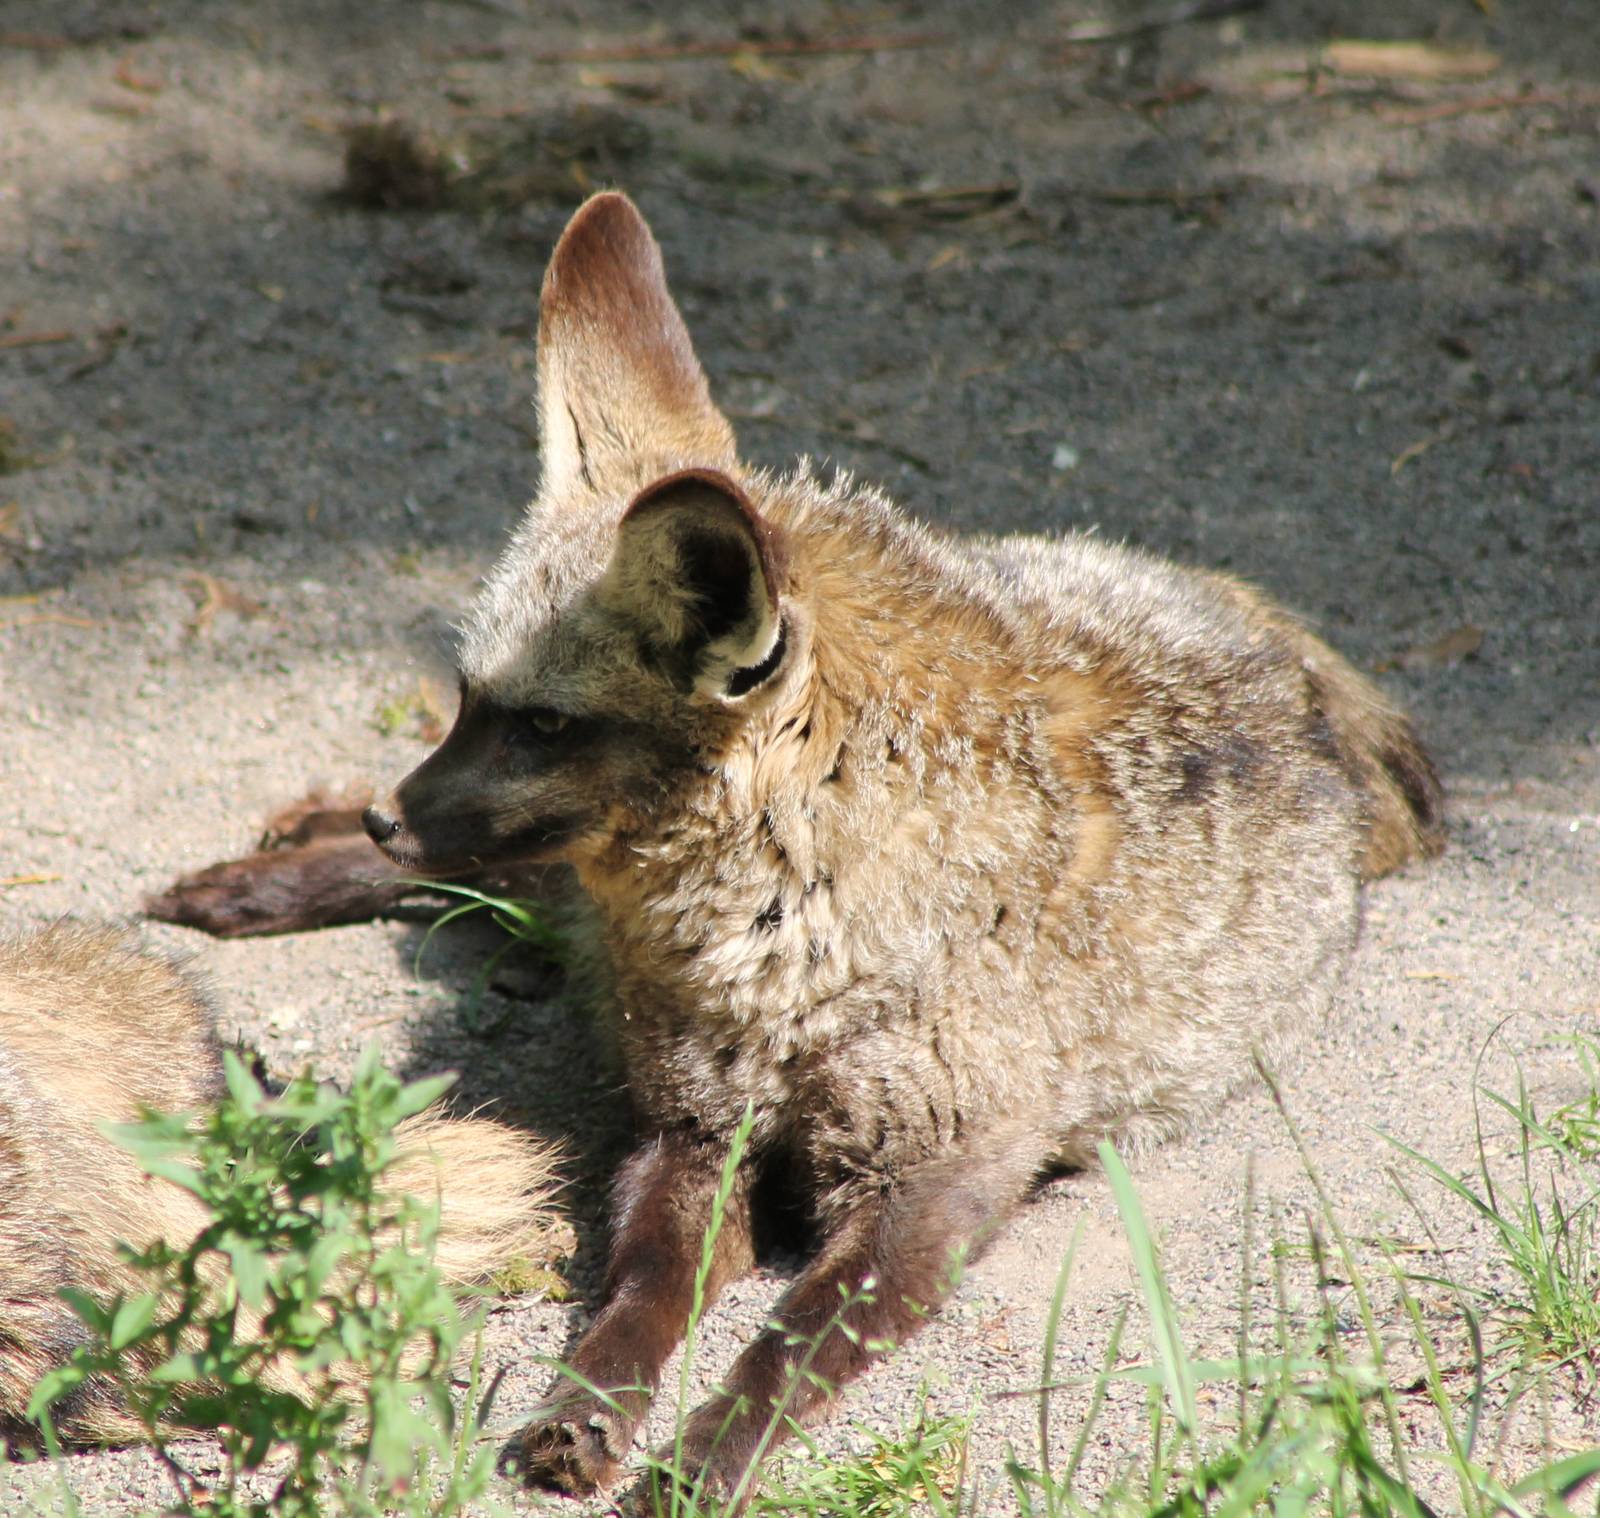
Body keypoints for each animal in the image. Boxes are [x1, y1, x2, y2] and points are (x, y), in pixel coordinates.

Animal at [148, 191, 1443, 1505]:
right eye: (467, 699)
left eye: (546, 725)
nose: (387, 818)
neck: (776, 957)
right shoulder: (688, 1131)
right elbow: (639, 1296)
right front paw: (587, 1409)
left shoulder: (939, 1183)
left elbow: (784, 1349)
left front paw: (697, 1460)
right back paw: (263, 877)